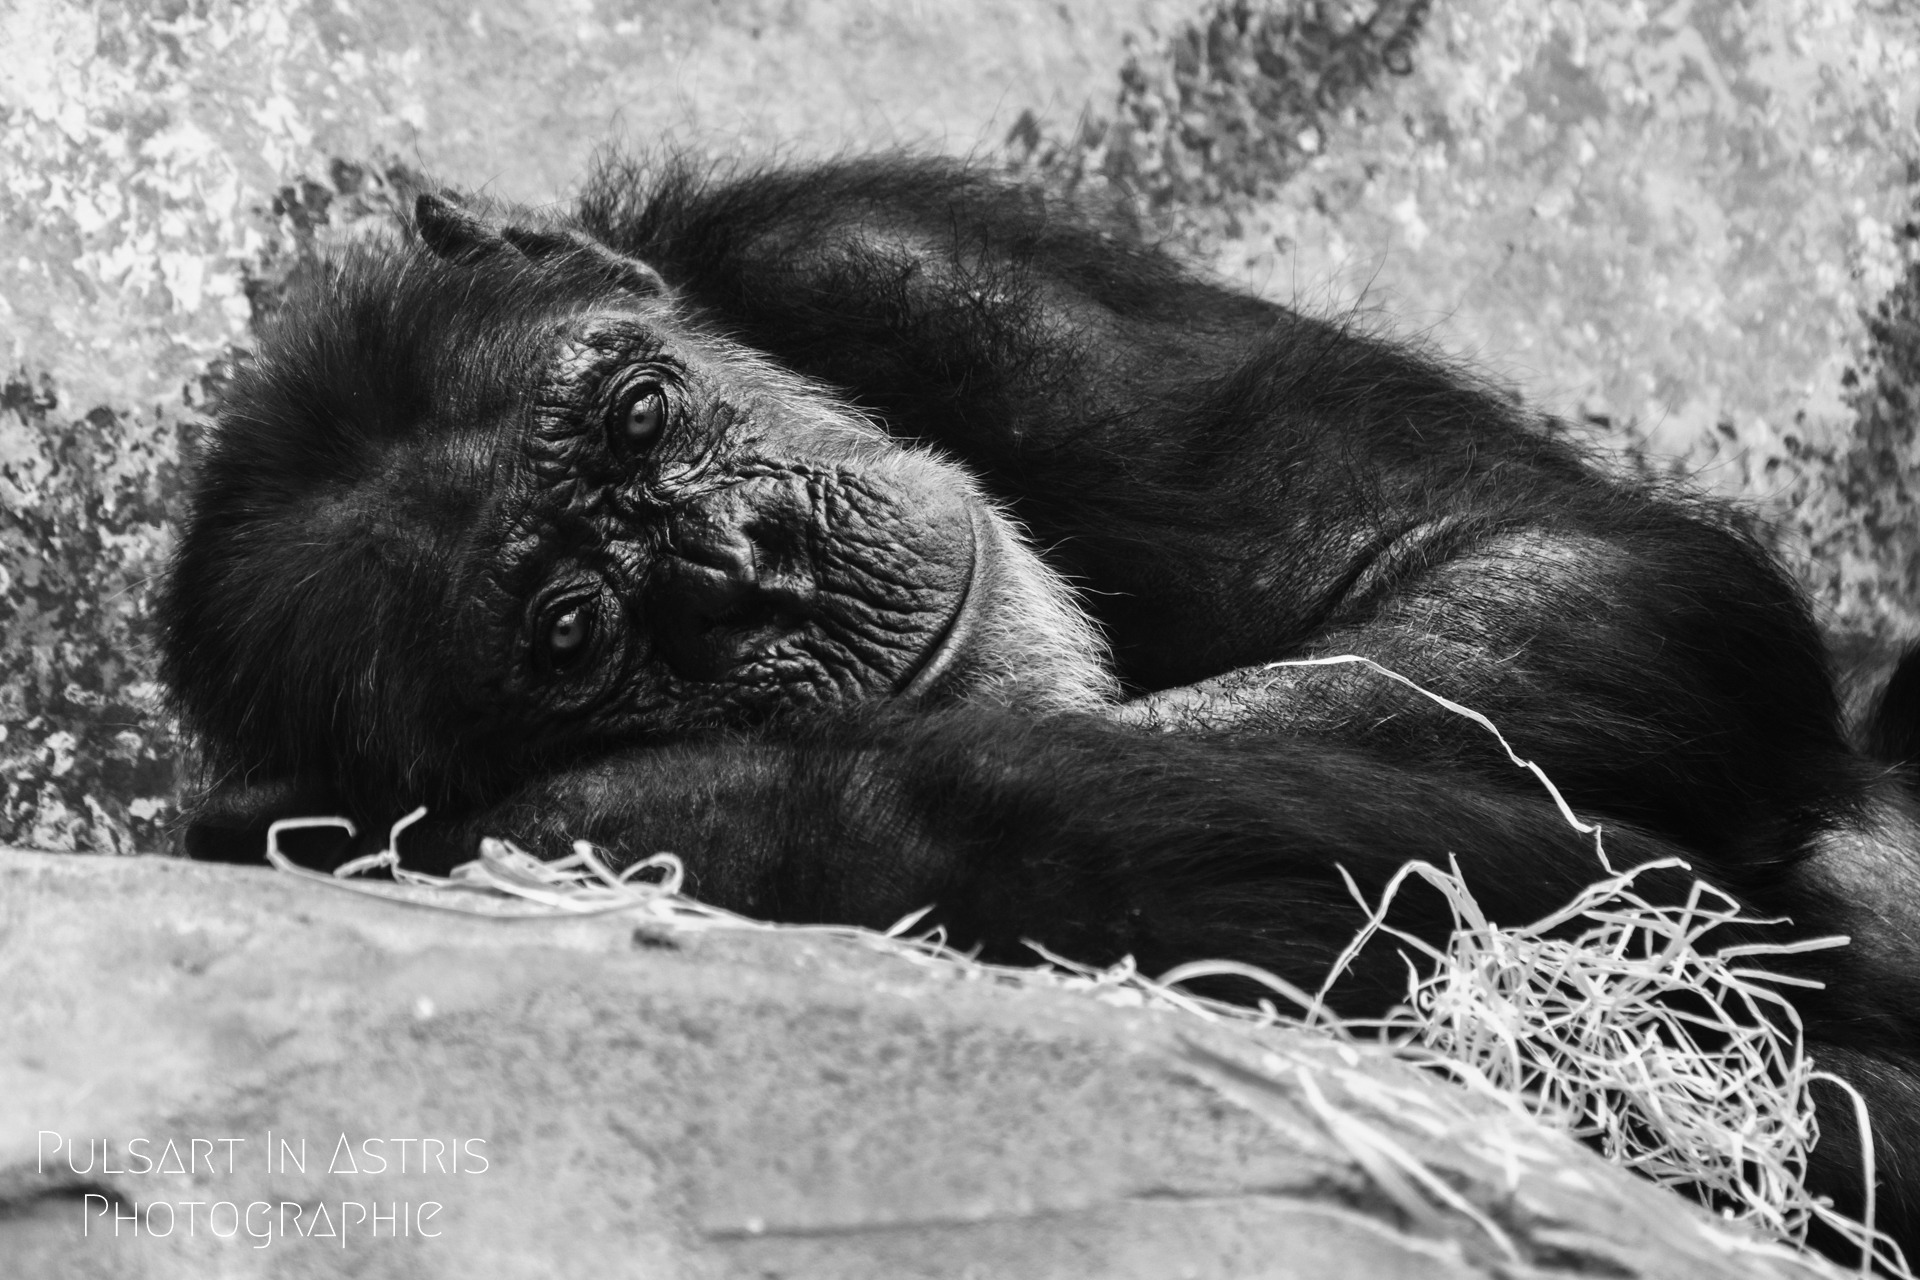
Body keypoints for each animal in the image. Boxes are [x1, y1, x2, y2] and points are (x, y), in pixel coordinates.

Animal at [157, 157, 1920, 1258]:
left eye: (642, 416)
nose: (751, 564)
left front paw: (669, 809)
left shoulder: (884, 259)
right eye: (577, 630)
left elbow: (1540, 560)